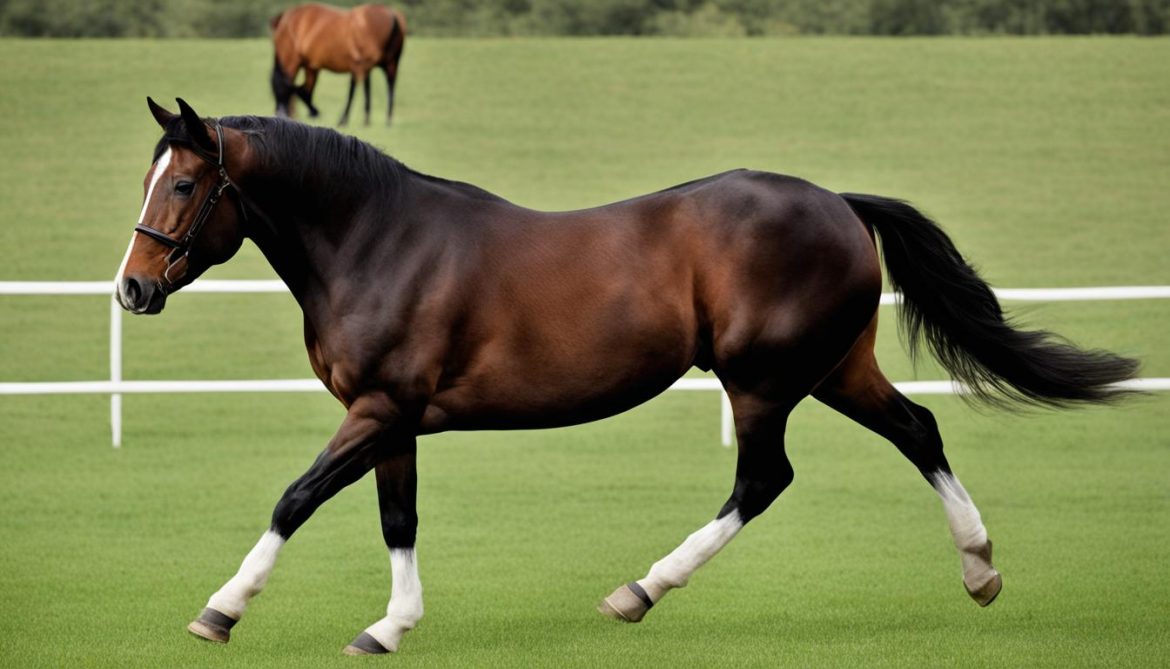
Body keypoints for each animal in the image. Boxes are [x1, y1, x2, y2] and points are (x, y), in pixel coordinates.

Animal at [116, 98, 1138, 655]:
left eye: (183, 184)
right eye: (150, 176)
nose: (132, 287)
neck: (378, 241)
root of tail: (838, 203)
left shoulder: (376, 409)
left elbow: (295, 497)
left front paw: (220, 610)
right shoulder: (393, 419)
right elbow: (396, 519)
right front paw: (389, 626)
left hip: (762, 380)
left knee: (764, 479)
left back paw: (639, 590)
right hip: (834, 368)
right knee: (918, 429)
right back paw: (980, 568)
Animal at [270, 3, 406, 126]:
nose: (279, 113)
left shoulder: (360, 65)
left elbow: (354, 90)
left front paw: (346, 119)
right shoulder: (361, 65)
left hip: (297, 63)